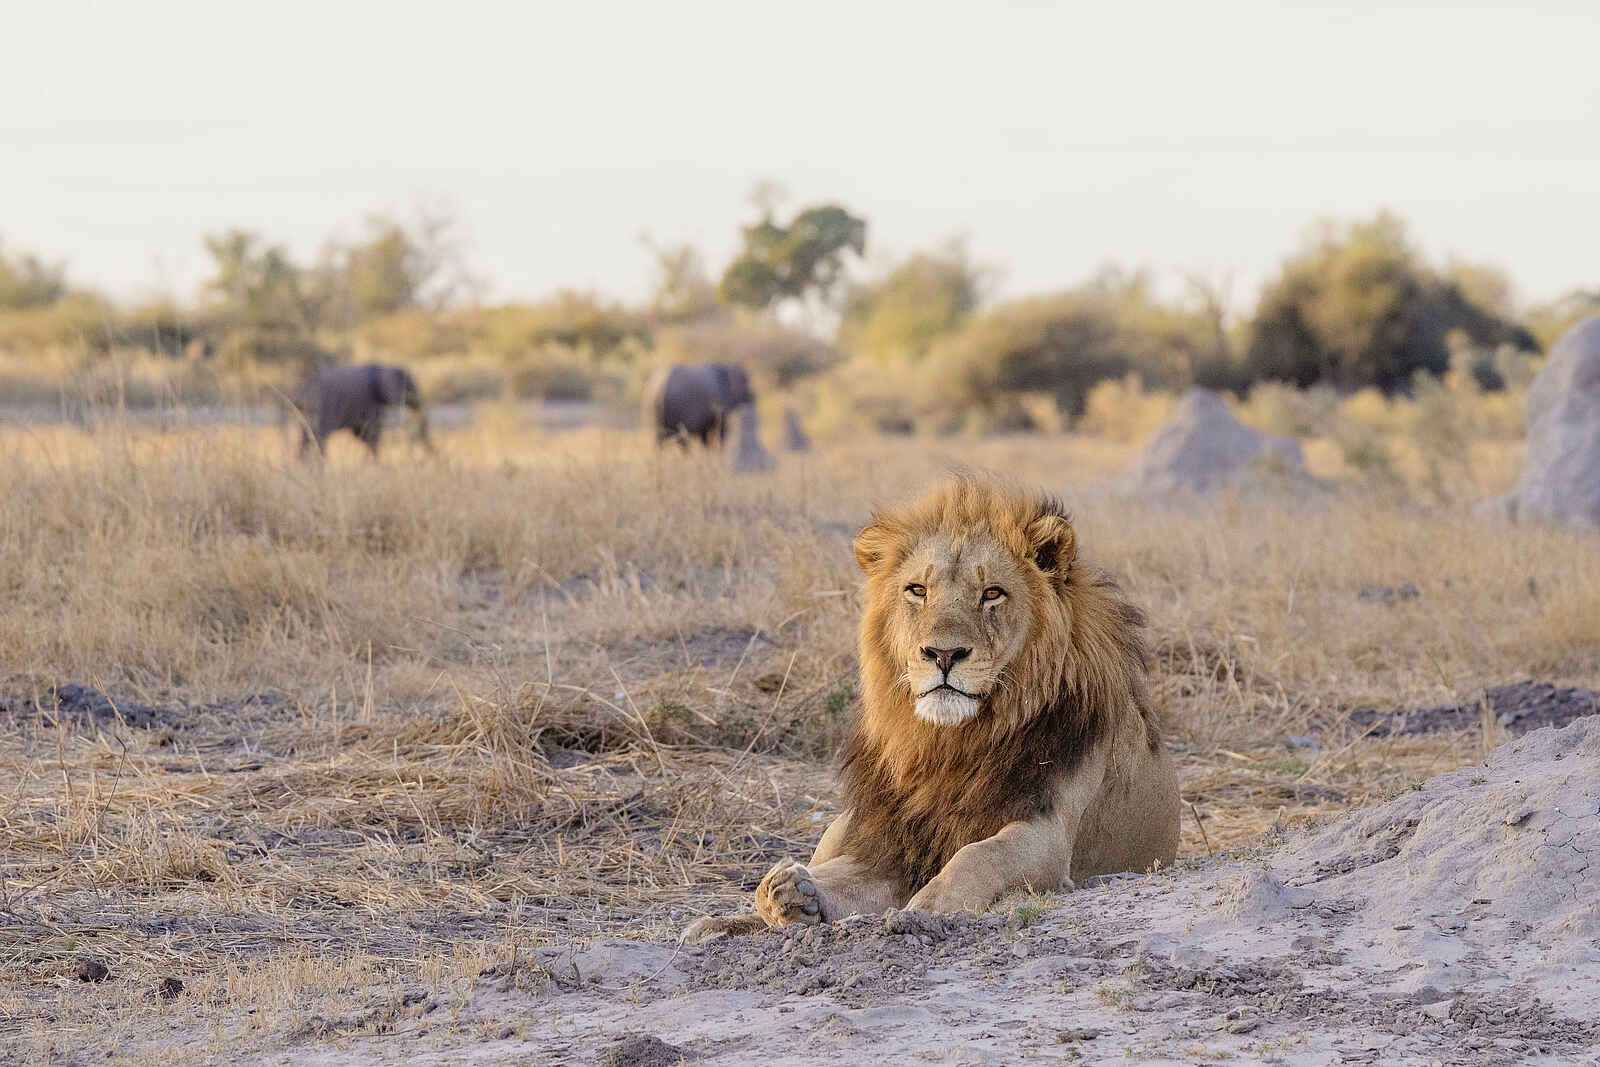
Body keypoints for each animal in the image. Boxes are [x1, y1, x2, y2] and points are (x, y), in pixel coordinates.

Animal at [683, 478, 1180, 942]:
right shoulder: (895, 843)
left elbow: (979, 854)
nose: (943, 654)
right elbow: (845, 876)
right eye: (918, 590)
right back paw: (725, 919)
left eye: (992, 593)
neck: (950, 743)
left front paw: (929, 909)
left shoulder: (1049, 831)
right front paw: (791, 893)